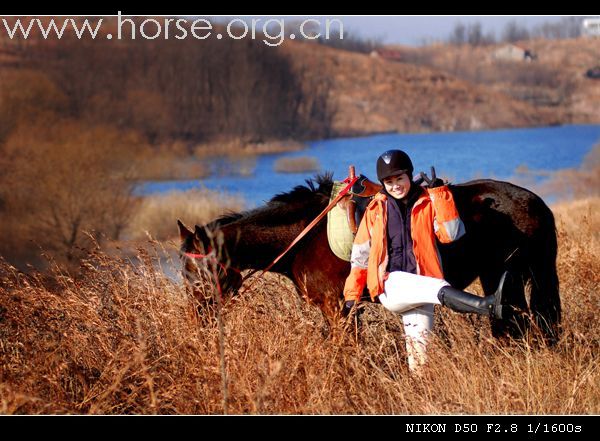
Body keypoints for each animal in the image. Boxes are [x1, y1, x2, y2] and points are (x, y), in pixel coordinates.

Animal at [178, 174, 564, 344]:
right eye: (184, 274)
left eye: (198, 272)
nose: (199, 319)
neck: (304, 235)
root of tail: (535, 202)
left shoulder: (337, 306)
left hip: (508, 275)